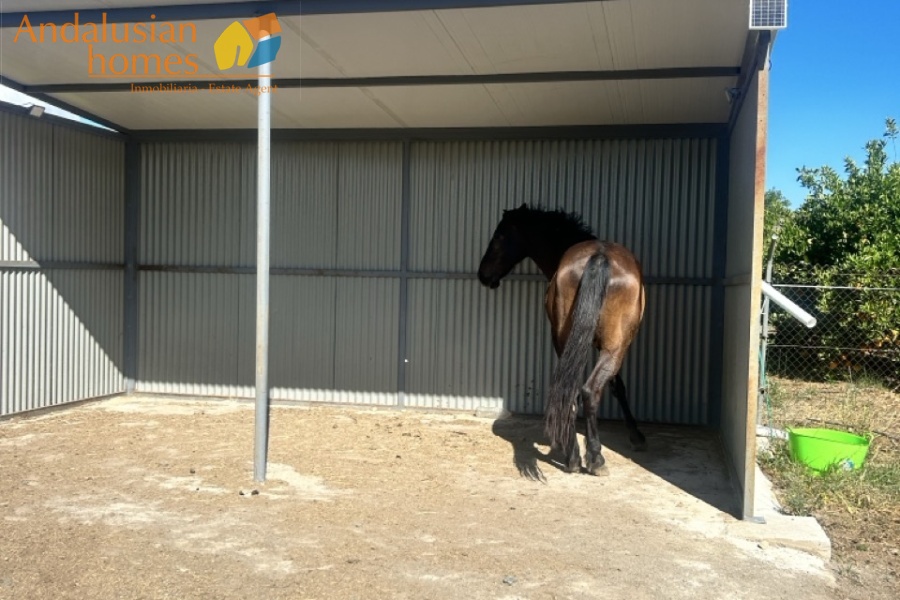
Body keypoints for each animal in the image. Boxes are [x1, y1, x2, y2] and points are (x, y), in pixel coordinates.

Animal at [477, 203, 646, 476]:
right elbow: (617, 386)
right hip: (615, 348)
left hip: (569, 344)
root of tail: (599, 257)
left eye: (500, 236)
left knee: (571, 394)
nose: (483, 275)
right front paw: (636, 436)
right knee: (589, 390)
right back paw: (595, 458)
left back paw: (574, 457)